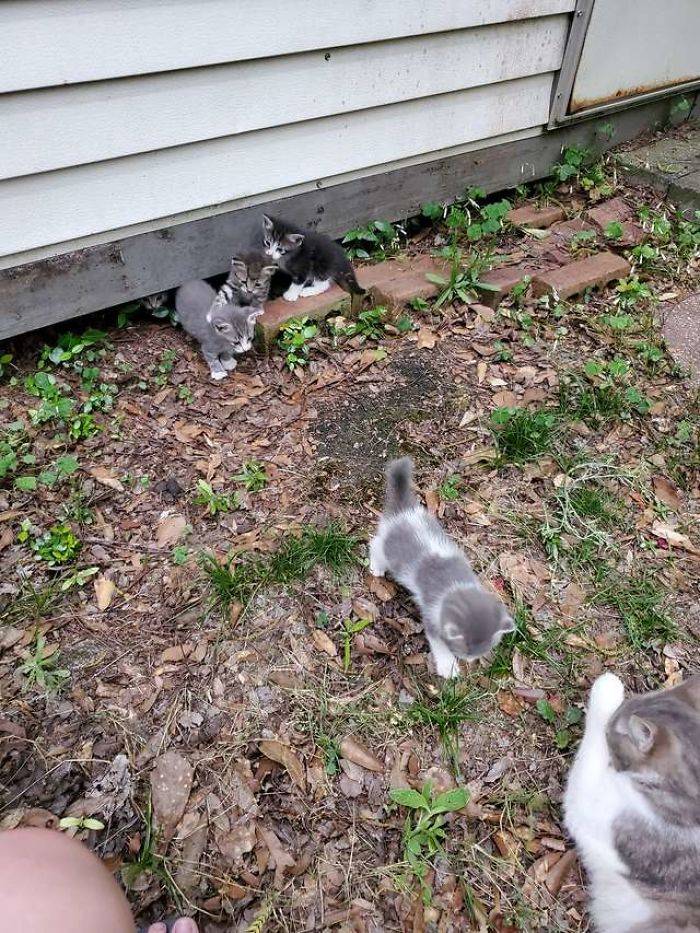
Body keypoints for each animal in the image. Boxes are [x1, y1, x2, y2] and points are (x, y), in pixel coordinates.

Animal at [366, 456, 516, 676]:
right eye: (464, 649)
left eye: (483, 650)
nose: (470, 659)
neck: (457, 585)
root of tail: (405, 511)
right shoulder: (432, 616)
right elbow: (438, 643)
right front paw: (449, 666)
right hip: (391, 552)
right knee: (376, 543)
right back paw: (376, 566)